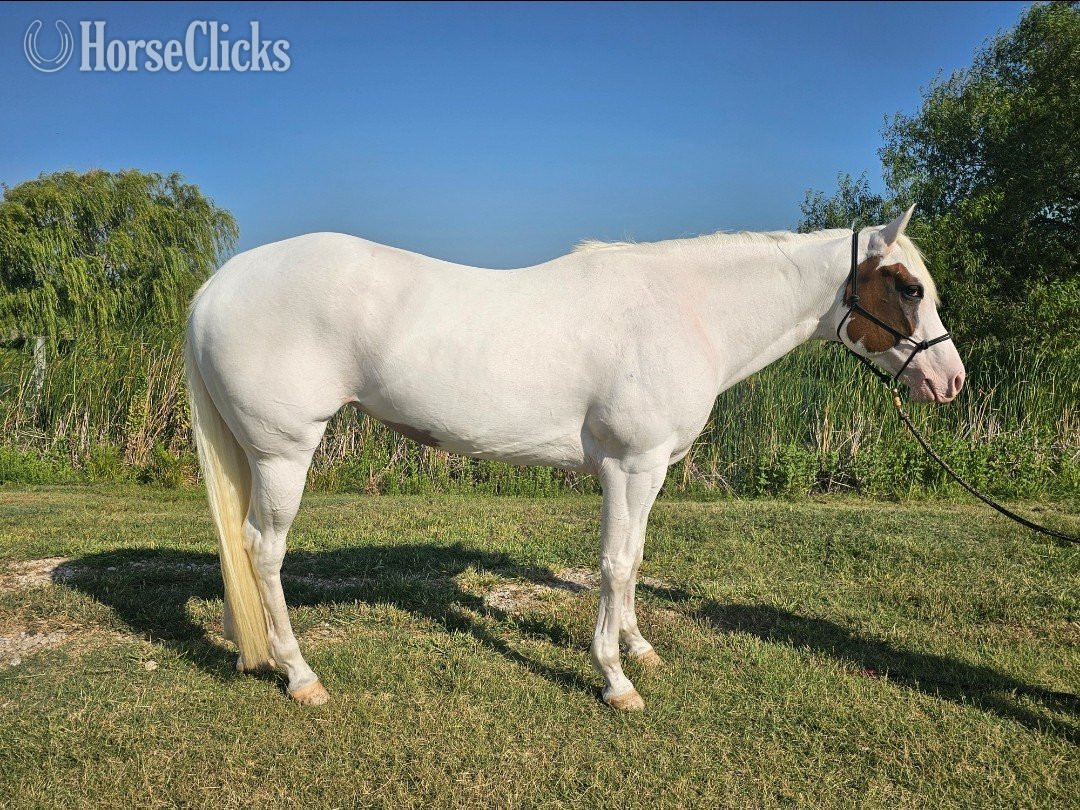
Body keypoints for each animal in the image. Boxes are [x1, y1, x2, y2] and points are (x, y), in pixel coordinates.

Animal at [184, 206, 966, 710]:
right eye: (908, 287)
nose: (950, 380)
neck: (687, 309)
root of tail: (215, 289)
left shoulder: (650, 471)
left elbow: (637, 559)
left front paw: (640, 647)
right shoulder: (630, 465)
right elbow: (614, 564)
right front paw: (616, 681)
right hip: (284, 453)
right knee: (262, 549)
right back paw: (300, 676)